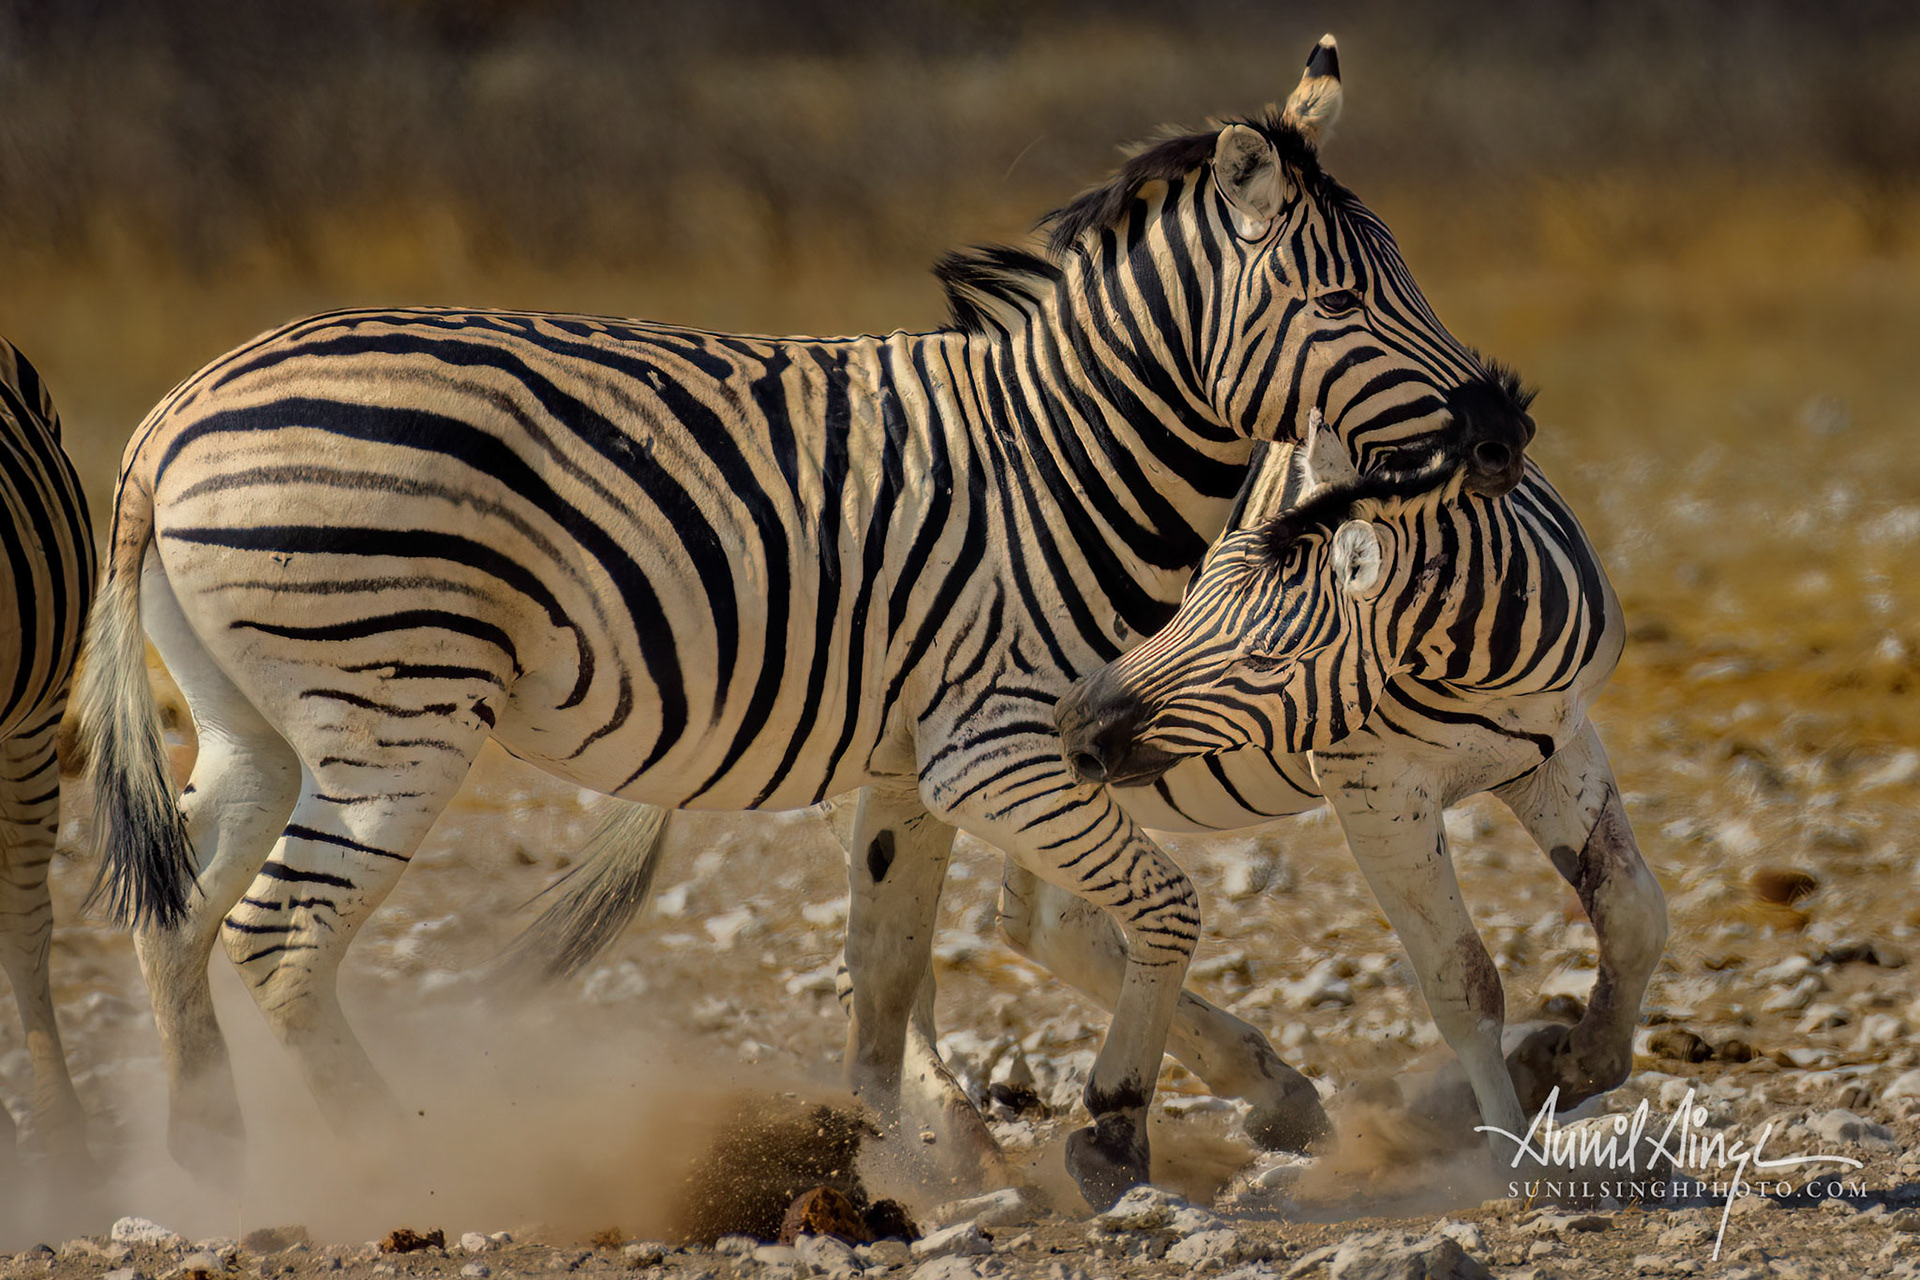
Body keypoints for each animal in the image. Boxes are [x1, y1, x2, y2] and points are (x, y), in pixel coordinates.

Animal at [75, 35, 1537, 1204]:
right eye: (1341, 303)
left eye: (1402, 276)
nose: (1507, 428)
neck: (1063, 451)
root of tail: (174, 414)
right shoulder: (998, 746)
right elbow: (1163, 908)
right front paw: (1109, 1133)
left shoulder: (913, 761)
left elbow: (885, 969)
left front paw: (889, 1157)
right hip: (397, 708)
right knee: (282, 934)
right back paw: (396, 1158)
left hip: (256, 722)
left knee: (179, 902)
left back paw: (207, 1155)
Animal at [1053, 414, 1668, 1161]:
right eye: (1188, 597)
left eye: (1268, 659)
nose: (1075, 724)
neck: (1483, 666)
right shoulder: (1375, 789)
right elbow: (1463, 983)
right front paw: (1506, 1150)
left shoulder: (1556, 748)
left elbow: (1633, 913)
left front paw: (1573, 1063)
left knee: (1050, 925)